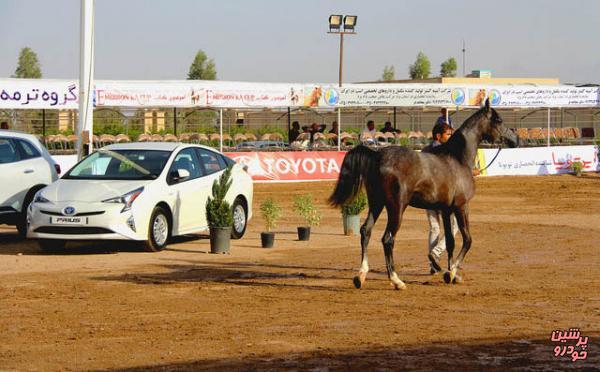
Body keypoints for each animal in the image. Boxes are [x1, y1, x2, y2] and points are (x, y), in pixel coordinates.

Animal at [330, 99, 516, 290]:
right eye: (499, 120)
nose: (514, 139)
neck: (458, 159)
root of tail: (377, 155)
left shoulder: (446, 210)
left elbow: (450, 242)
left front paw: (450, 274)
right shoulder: (461, 206)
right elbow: (467, 239)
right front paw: (452, 271)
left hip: (376, 204)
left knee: (366, 231)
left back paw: (361, 276)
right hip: (396, 208)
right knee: (387, 239)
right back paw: (396, 280)